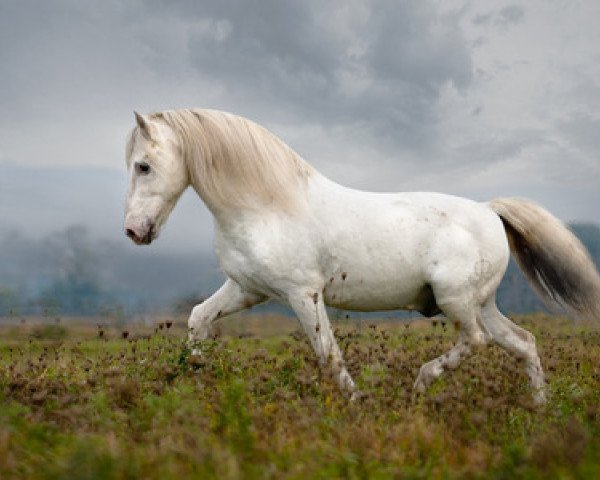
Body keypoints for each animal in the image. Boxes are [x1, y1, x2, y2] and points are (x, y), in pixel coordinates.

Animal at [124, 108, 600, 402]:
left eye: (143, 165)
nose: (133, 231)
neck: (266, 204)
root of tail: (489, 211)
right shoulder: (247, 289)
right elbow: (198, 318)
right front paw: (191, 377)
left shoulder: (303, 294)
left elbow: (328, 355)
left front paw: (355, 403)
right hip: (482, 303)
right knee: (523, 343)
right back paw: (538, 409)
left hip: (456, 301)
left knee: (477, 340)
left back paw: (421, 383)